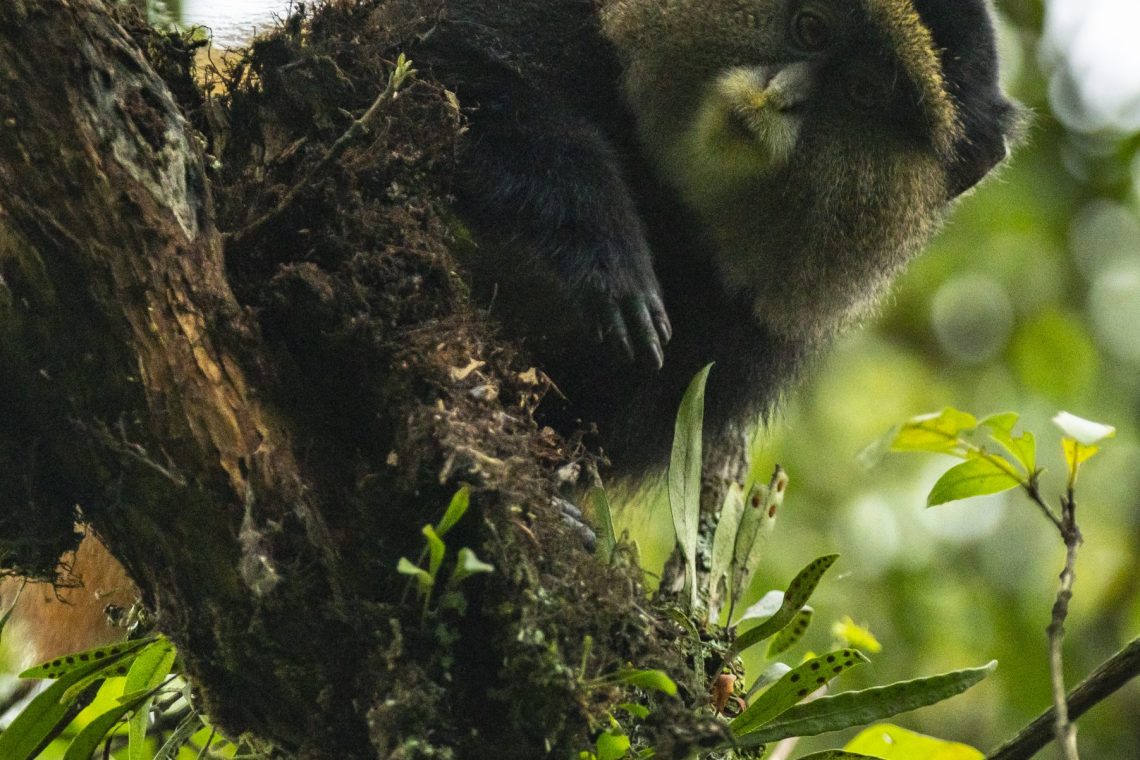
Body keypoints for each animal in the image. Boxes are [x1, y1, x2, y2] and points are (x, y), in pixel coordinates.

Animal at [411, 0, 1021, 474]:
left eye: (863, 91)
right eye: (811, 29)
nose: (781, 95)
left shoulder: (742, 334)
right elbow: (442, 57)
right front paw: (608, 250)